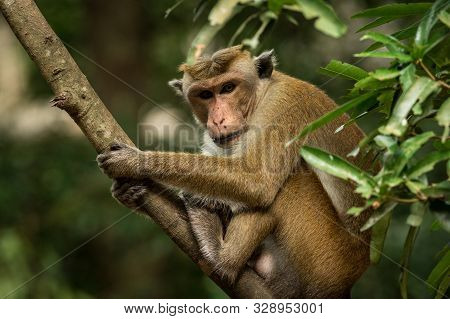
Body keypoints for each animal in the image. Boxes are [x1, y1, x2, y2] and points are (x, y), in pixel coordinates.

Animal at [98, 46, 372, 298]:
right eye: (205, 94)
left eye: (228, 88)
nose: (218, 120)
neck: (261, 97)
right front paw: (130, 191)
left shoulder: (283, 108)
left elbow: (257, 181)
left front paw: (136, 160)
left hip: (327, 259)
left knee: (289, 180)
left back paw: (223, 258)